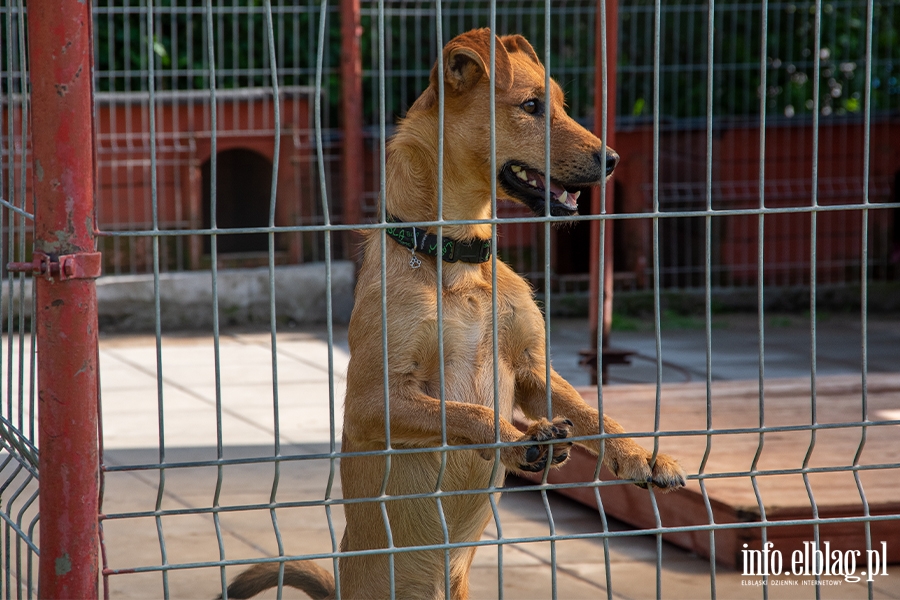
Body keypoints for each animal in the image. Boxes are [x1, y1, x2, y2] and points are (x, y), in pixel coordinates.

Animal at [221, 29, 684, 600]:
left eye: (559, 105)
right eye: (531, 107)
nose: (613, 159)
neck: (454, 257)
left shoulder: (532, 369)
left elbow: (592, 412)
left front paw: (642, 455)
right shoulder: (371, 401)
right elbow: (466, 412)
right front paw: (518, 441)